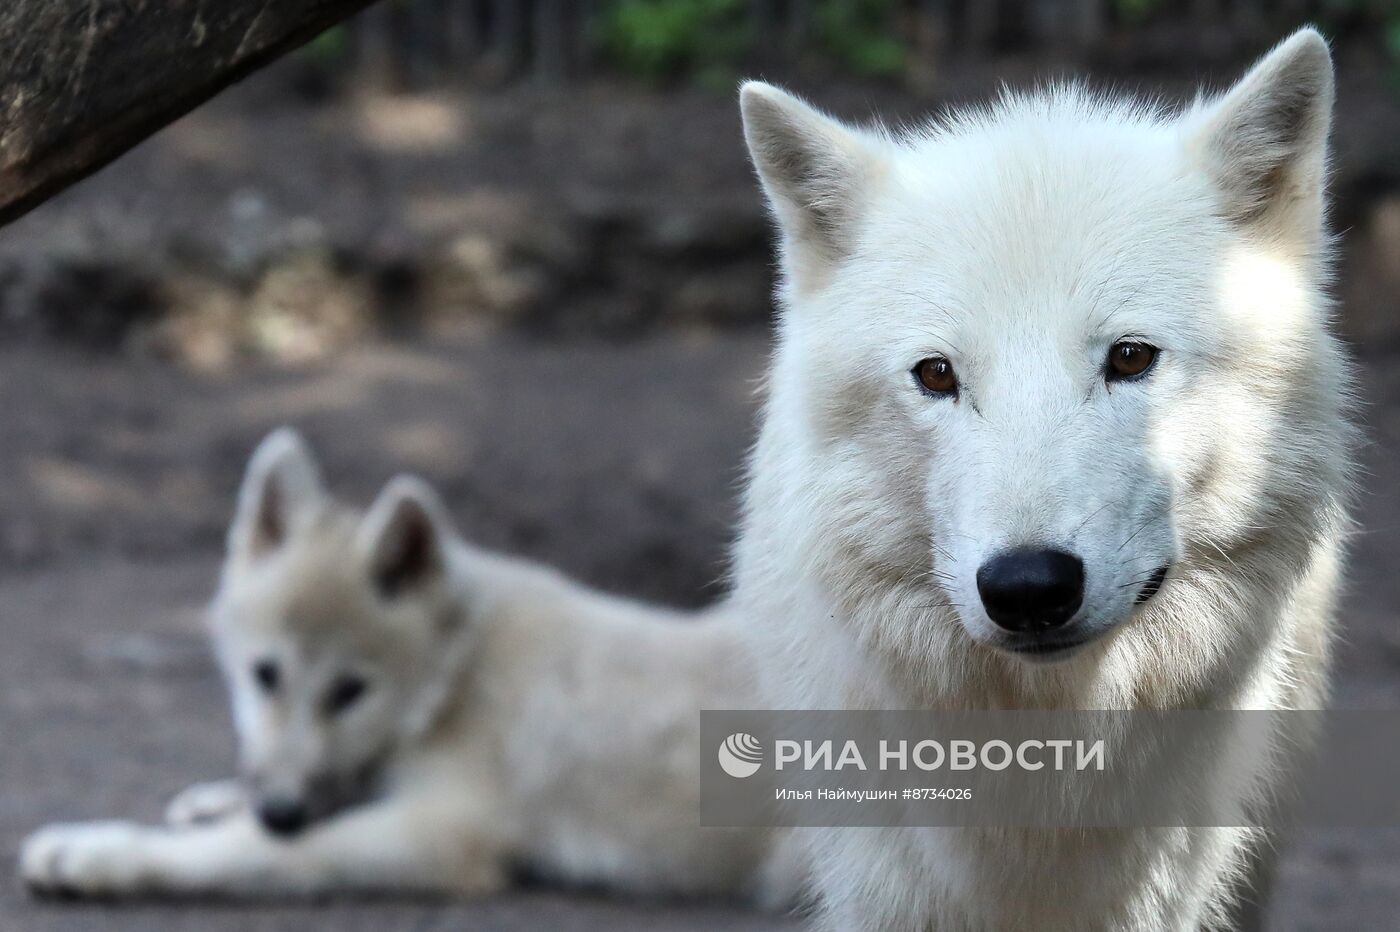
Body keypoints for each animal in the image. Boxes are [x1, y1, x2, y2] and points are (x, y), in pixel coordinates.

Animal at [21, 431, 800, 901]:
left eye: (350, 691)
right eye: (265, 675)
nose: (280, 810)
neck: (454, 674)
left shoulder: (441, 836)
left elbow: (252, 852)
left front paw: (95, 854)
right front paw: (216, 799)